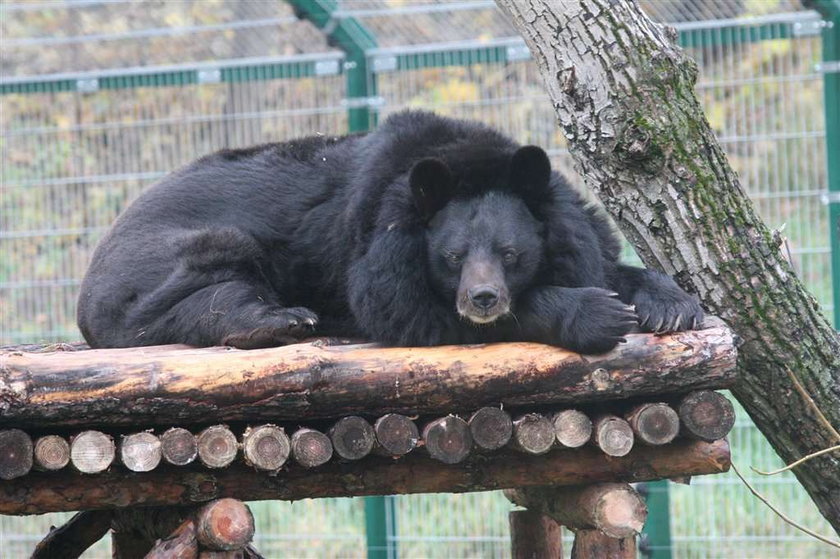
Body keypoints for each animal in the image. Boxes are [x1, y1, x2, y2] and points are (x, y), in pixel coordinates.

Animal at [77, 111, 704, 352]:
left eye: (510, 252)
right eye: (451, 257)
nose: (482, 298)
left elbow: (605, 258)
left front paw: (670, 306)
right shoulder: (378, 251)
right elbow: (410, 314)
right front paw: (598, 314)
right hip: (171, 257)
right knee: (195, 299)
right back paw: (285, 320)